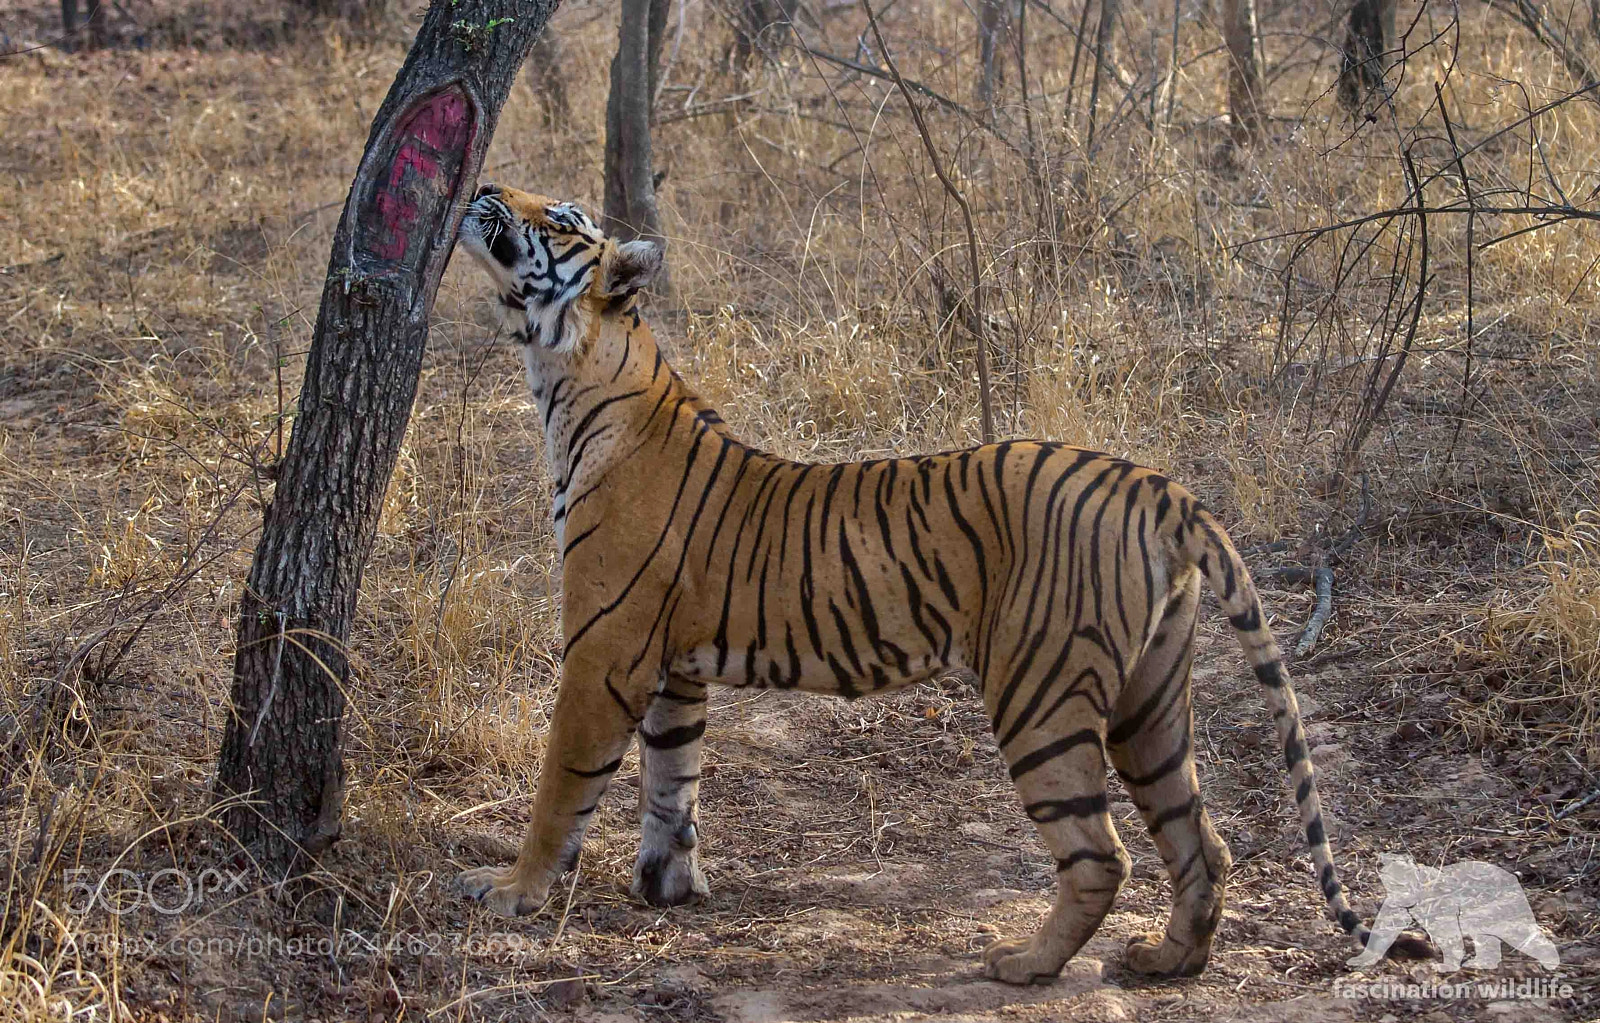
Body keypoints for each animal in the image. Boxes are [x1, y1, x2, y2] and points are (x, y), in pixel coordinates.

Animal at [450, 184, 1427, 984]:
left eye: (559, 219)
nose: (485, 185)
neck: (571, 375)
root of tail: (1158, 483)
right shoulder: (675, 667)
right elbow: (672, 779)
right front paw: (667, 884)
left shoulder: (603, 654)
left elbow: (564, 785)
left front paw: (512, 892)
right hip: (1150, 703)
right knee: (1200, 840)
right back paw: (1166, 960)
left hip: (1040, 695)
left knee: (1101, 851)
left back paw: (1026, 963)